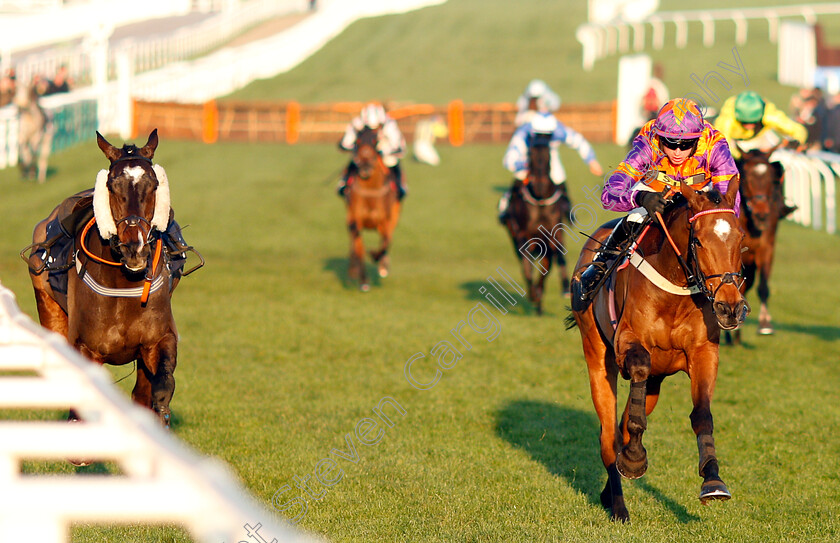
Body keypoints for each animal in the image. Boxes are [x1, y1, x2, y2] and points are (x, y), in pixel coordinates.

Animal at [24, 130, 195, 428]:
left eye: (153, 185)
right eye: (112, 185)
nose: (134, 247)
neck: (124, 283)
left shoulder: (158, 339)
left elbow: (161, 386)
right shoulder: (86, 347)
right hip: (48, 306)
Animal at [346, 126, 402, 294]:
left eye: (375, 141)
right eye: (357, 141)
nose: (364, 165)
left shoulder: (385, 221)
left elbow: (386, 242)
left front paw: (378, 258)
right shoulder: (356, 220)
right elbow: (359, 248)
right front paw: (363, 281)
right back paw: (352, 270)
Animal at [502, 135, 576, 314]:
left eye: (548, 154)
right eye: (530, 154)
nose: (540, 185)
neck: (540, 201)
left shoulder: (551, 239)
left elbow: (545, 271)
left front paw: (539, 300)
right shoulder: (523, 238)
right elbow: (527, 268)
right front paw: (533, 295)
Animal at [568, 180, 744, 524]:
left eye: (740, 238)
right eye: (698, 240)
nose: (729, 307)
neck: (674, 291)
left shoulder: (704, 353)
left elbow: (702, 414)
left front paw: (713, 480)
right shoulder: (626, 344)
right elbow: (637, 367)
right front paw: (635, 459)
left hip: (655, 385)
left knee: (623, 427)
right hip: (596, 356)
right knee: (608, 436)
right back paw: (618, 505)